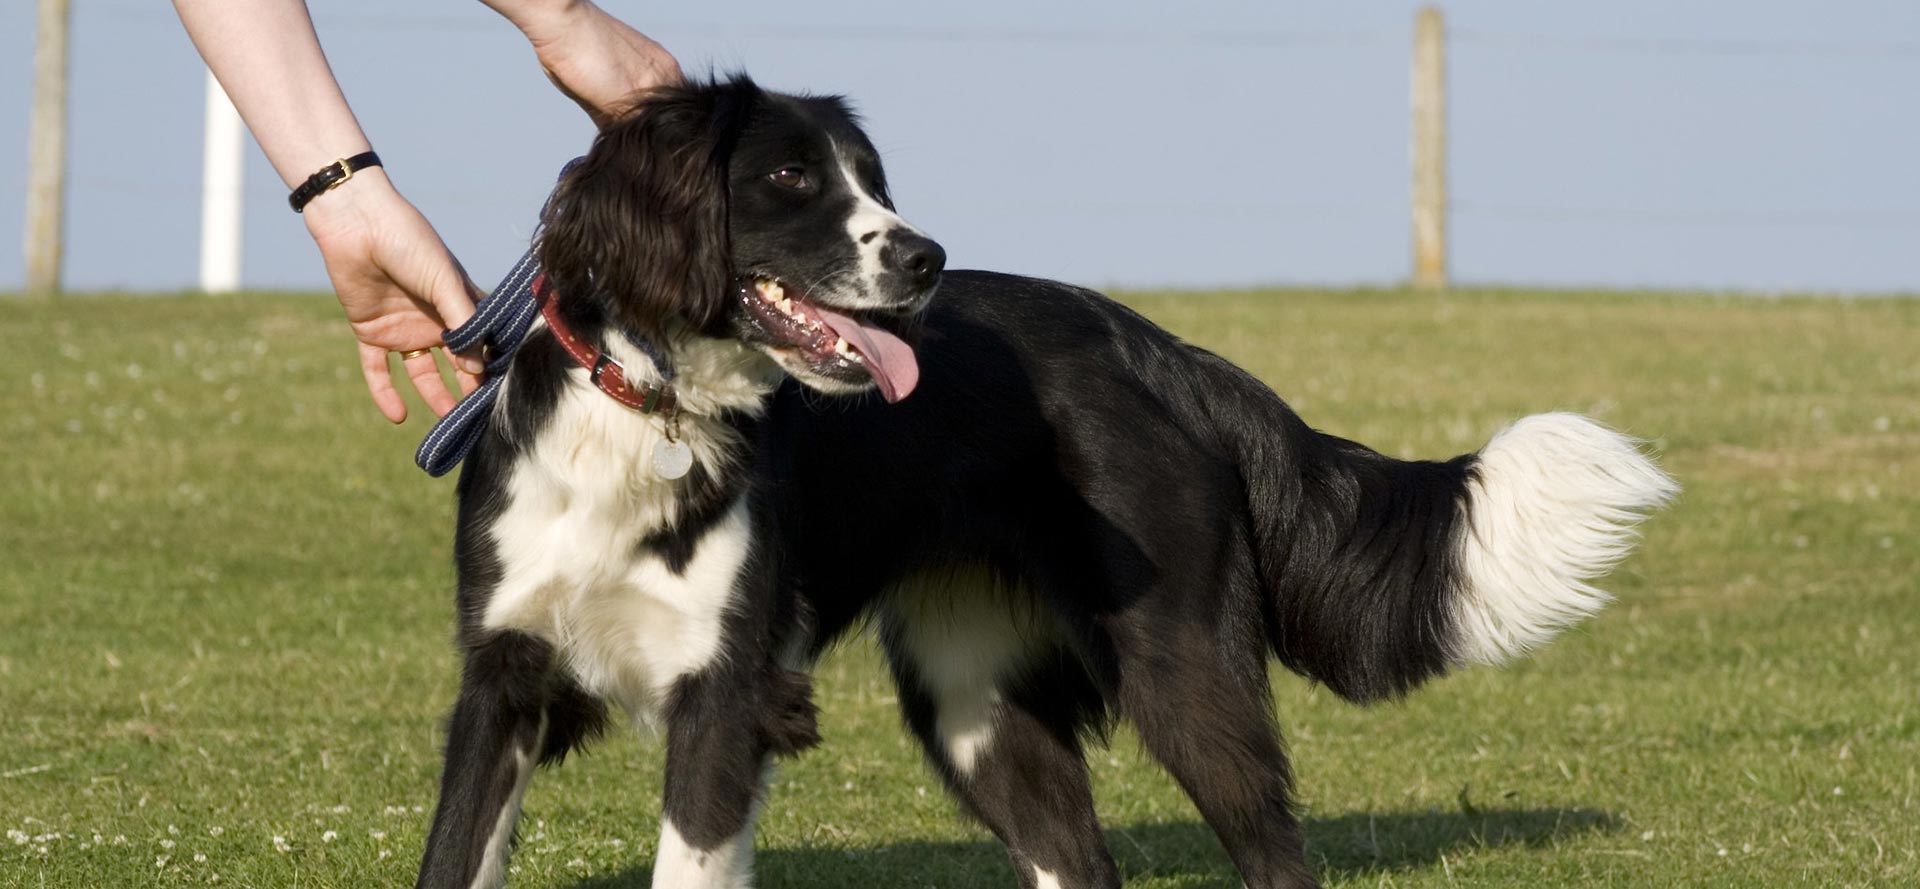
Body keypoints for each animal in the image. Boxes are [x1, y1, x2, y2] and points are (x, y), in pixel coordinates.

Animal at [416, 76, 1666, 889]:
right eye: (788, 175)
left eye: (874, 180)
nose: (925, 258)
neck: (653, 409)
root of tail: (1159, 349)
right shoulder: (502, 682)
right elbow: (453, 854)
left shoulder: (724, 697)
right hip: (975, 703)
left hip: (1182, 671)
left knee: (1273, 851)